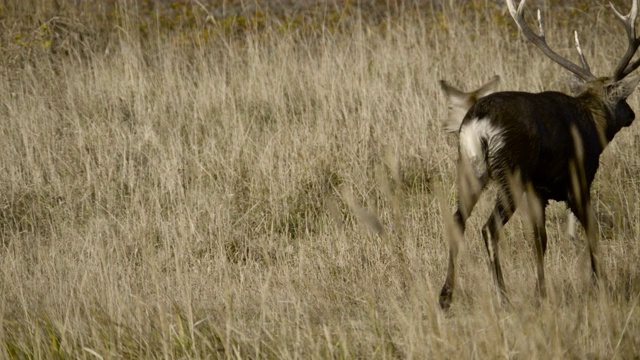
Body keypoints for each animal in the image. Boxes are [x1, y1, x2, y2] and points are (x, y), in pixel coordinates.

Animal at [438, 0, 640, 310]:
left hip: (469, 168)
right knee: (489, 229)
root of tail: (478, 123)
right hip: (510, 172)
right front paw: (601, 284)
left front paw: (541, 292)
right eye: (623, 98)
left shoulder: (538, 190)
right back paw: (503, 296)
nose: (631, 115)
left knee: (458, 220)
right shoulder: (578, 179)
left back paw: (446, 295)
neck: (593, 123)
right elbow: (591, 230)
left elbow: (540, 238)